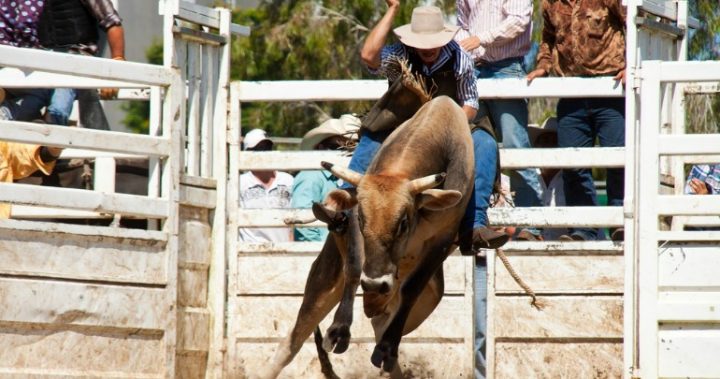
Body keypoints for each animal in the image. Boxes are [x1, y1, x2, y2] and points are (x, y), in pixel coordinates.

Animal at [262, 95, 476, 379]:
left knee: (383, 325)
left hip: (424, 302)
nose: (375, 284)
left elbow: (412, 288)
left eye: (404, 222)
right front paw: (339, 331)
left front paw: (387, 349)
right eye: (363, 219)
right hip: (322, 281)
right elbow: (354, 268)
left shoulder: (443, 239)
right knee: (292, 342)